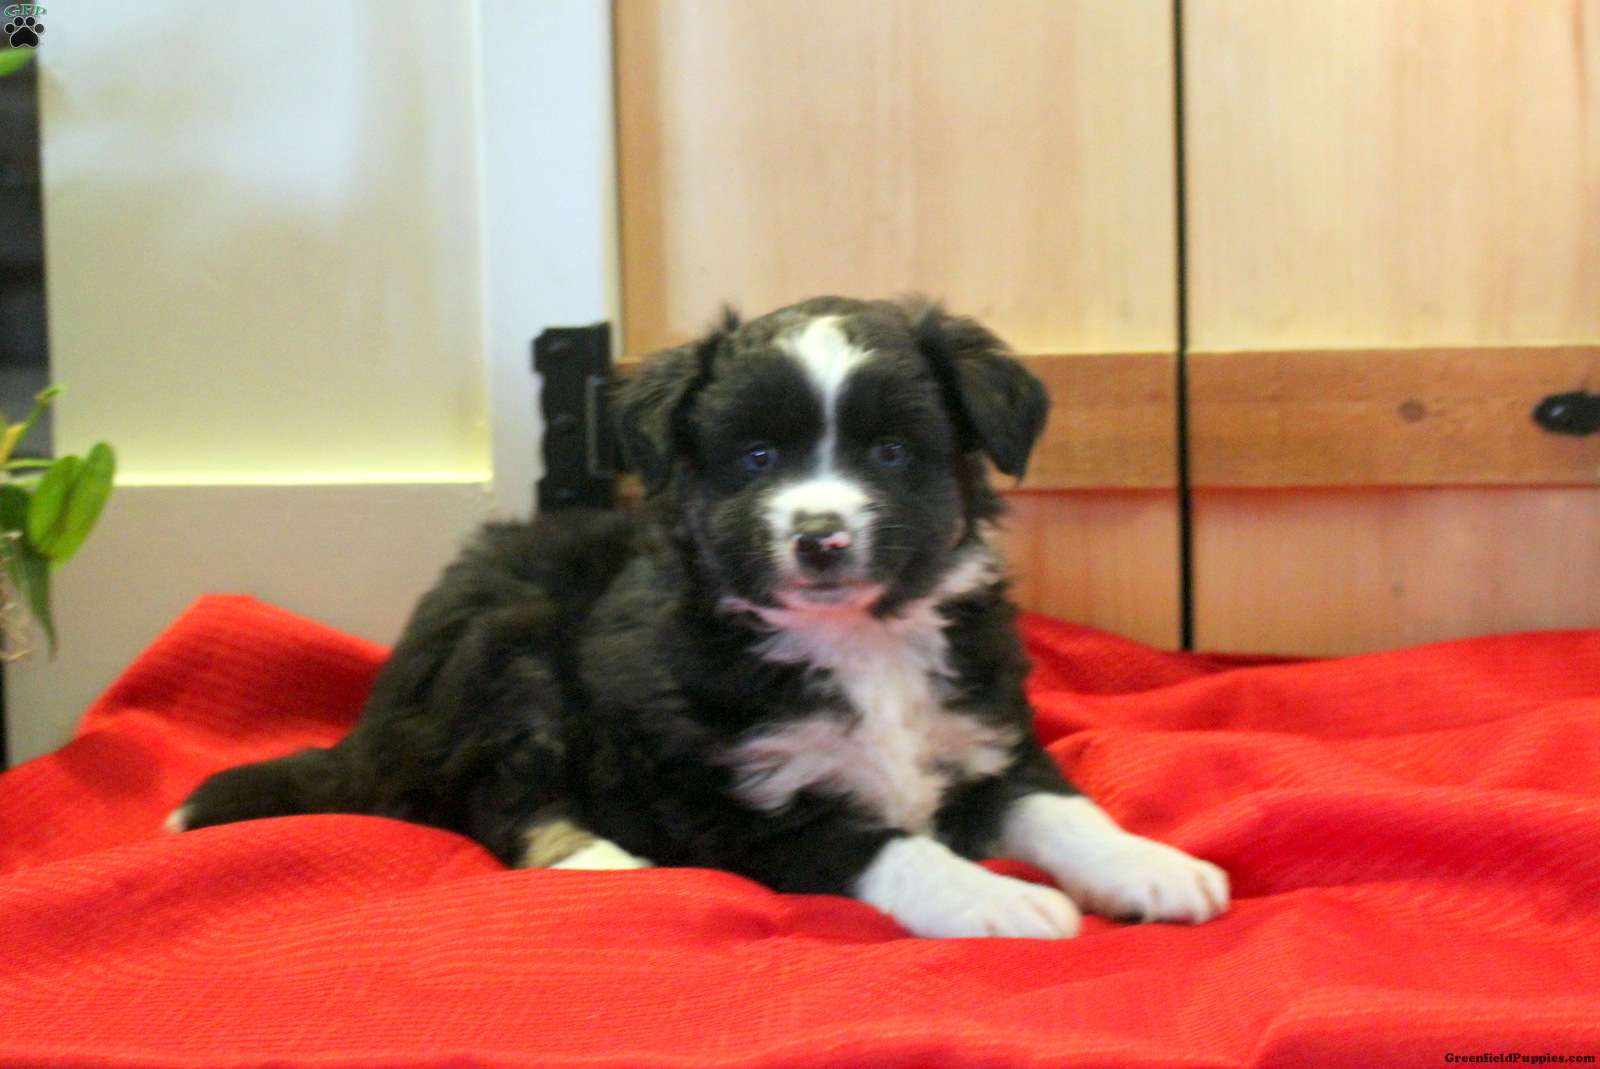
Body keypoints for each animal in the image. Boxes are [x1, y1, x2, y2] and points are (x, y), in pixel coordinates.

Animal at [172, 296, 1228, 939]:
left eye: (890, 452)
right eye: (758, 456)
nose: (819, 536)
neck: (862, 642)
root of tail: (374, 722)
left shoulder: (984, 736)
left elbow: (1063, 807)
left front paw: (1153, 865)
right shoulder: (734, 801)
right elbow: (887, 846)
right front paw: (996, 899)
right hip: (508, 649)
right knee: (501, 800)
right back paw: (607, 864)